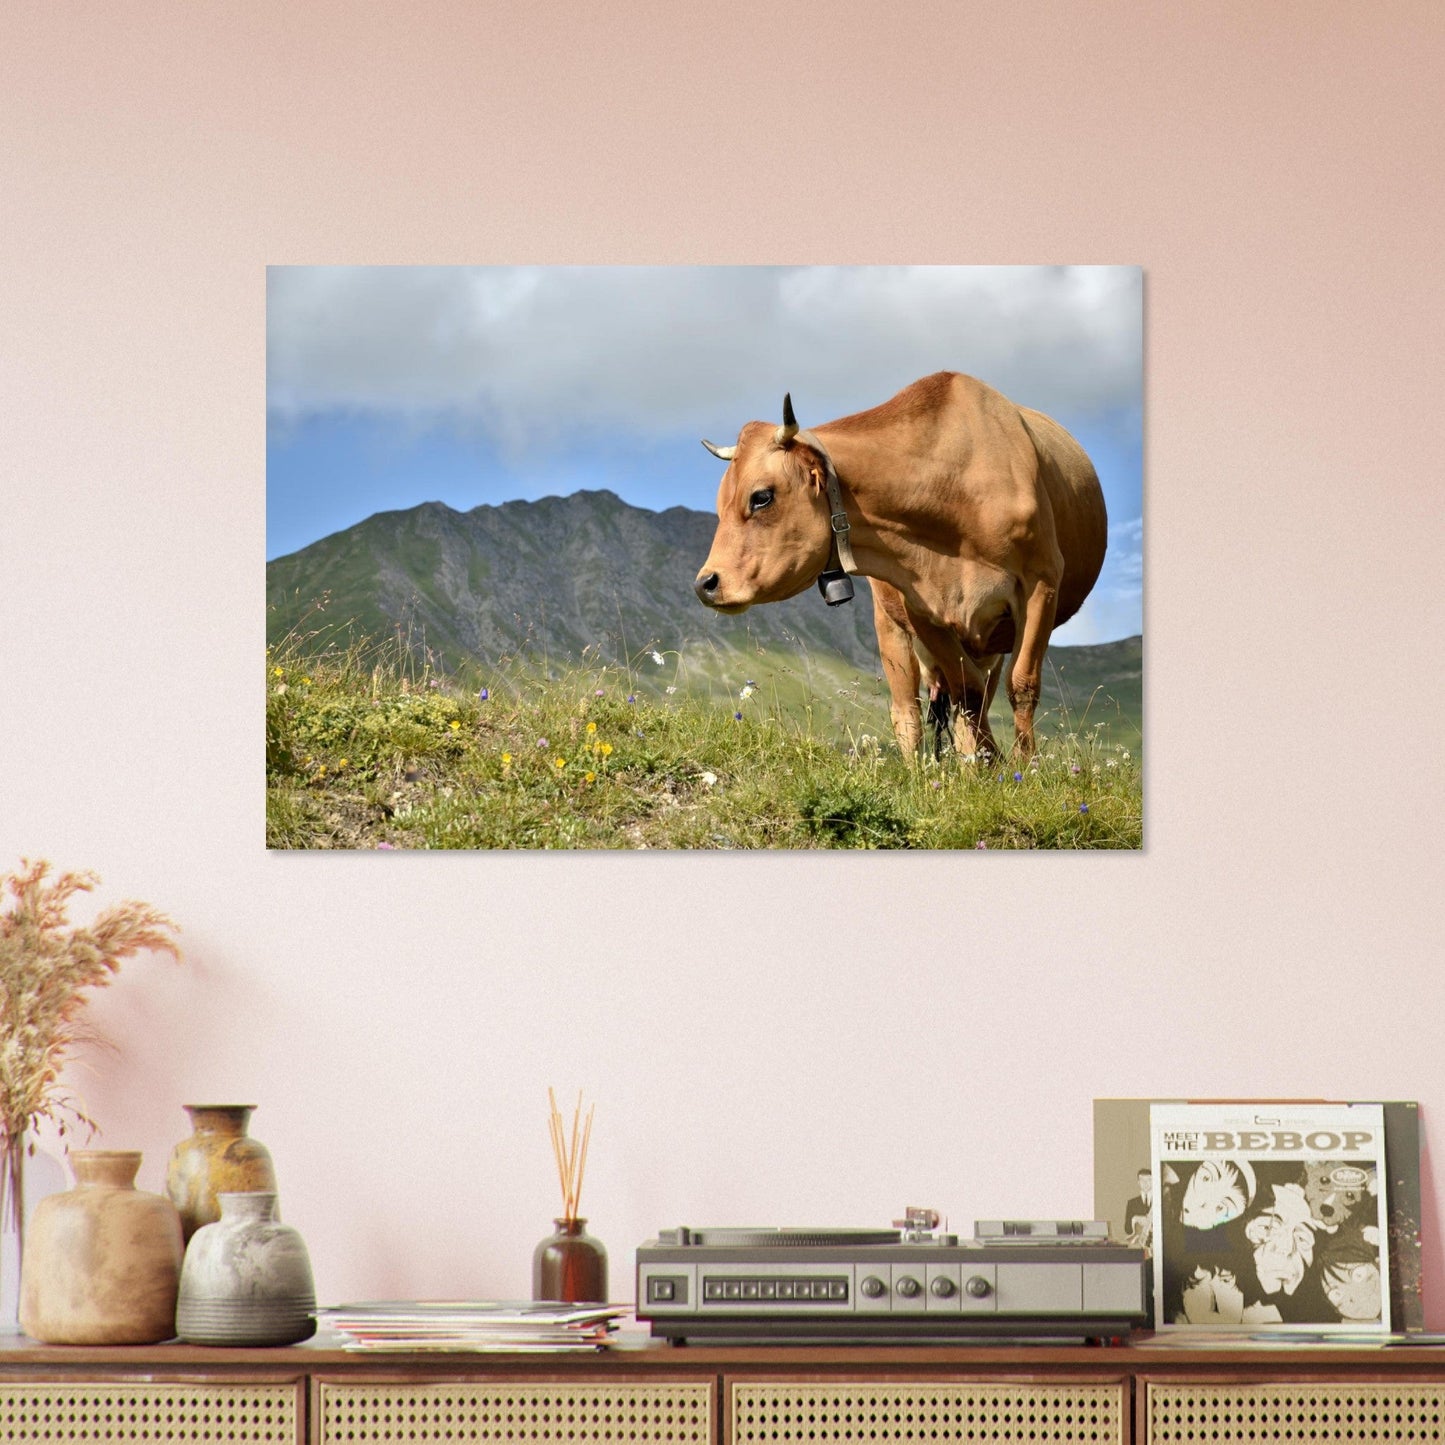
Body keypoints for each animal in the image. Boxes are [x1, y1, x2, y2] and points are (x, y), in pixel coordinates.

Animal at [693, 371, 1107, 759]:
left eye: (761, 497)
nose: (705, 583)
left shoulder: (1042, 582)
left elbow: (1021, 686)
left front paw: (1022, 765)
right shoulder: (922, 609)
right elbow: (967, 694)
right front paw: (988, 765)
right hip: (891, 625)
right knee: (910, 711)